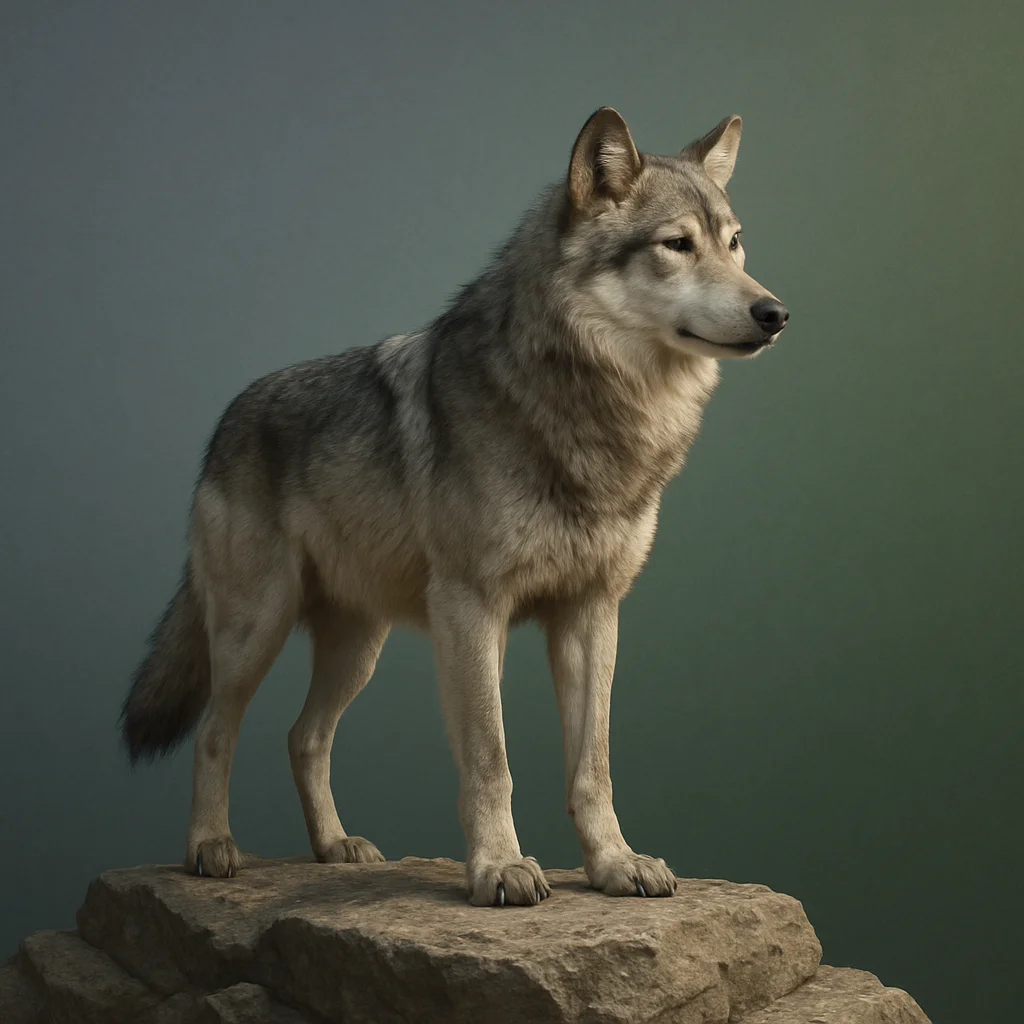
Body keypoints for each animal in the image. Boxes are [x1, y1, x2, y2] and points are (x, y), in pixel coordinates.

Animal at [121, 107, 788, 907]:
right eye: (677, 245)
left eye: (735, 242)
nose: (775, 312)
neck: (590, 410)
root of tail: (225, 421)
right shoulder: (472, 608)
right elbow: (490, 759)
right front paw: (500, 869)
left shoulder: (592, 611)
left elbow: (592, 766)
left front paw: (614, 864)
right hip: (258, 630)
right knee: (216, 733)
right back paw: (210, 847)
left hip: (359, 648)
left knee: (304, 736)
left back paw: (334, 847)